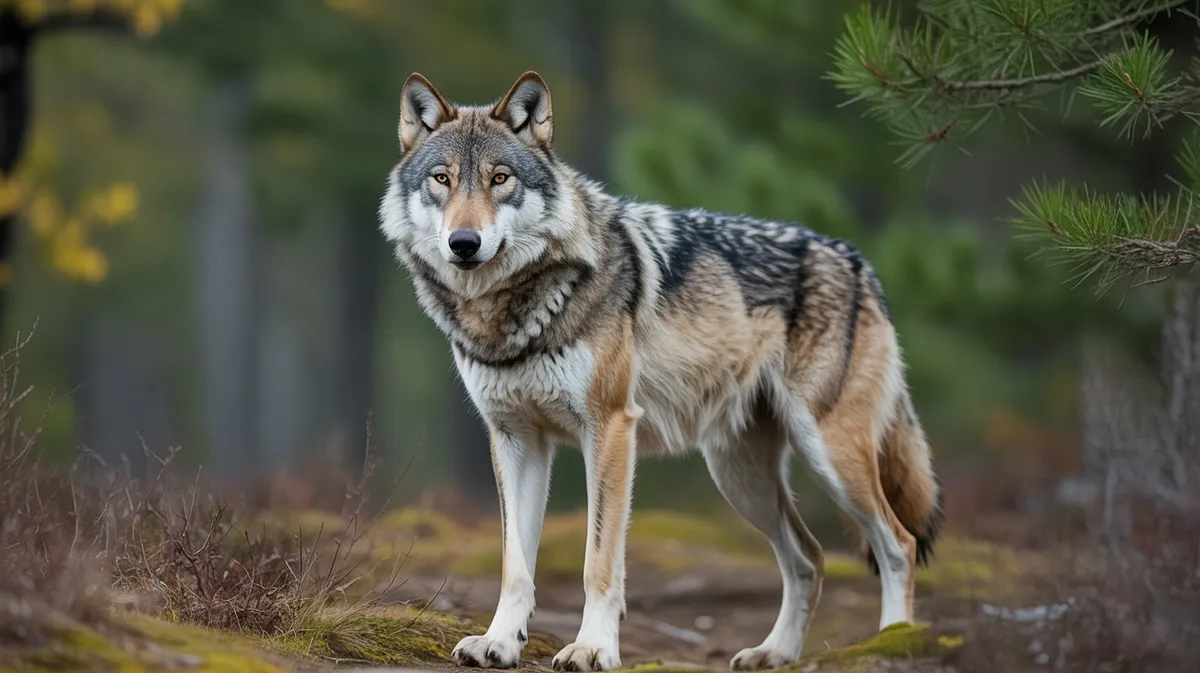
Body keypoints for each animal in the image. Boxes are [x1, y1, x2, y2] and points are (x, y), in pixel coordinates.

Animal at [378, 71, 942, 672]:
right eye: (442, 179)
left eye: (500, 179)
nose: (464, 243)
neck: (510, 309)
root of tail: (857, 261)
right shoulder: (515, 439)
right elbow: (515, 566)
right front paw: (500, 642)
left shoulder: (609, 429)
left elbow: (598, 561)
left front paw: (592, 647)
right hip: (739, 477)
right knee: (809, 558)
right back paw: (775, 652)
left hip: (828, 454)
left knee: (898, 543)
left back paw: (893, 641)